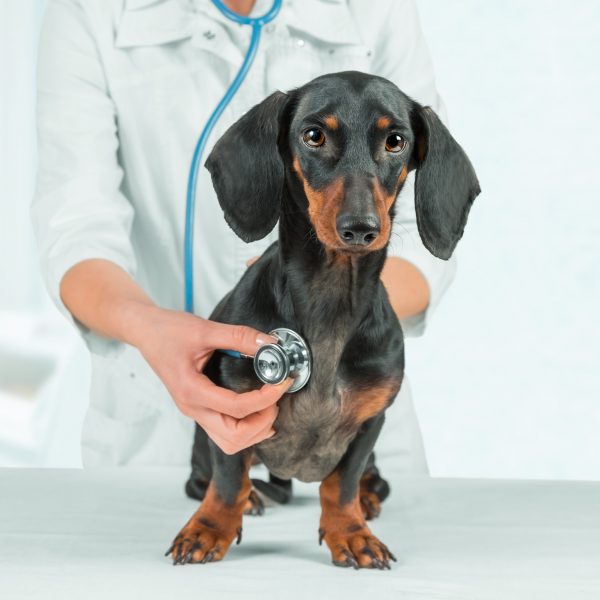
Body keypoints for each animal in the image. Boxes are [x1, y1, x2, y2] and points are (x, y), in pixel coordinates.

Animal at [166, 69, 480, 568]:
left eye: (396, 141)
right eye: (313, 135)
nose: (361, 228)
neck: (330, 300)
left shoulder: (370, 424)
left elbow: (342, 484)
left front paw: (350, 532)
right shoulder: (226, 411)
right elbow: (229, 477)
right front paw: (210, 527)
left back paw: (369, 496)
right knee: (208, 477)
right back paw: (250, 498)